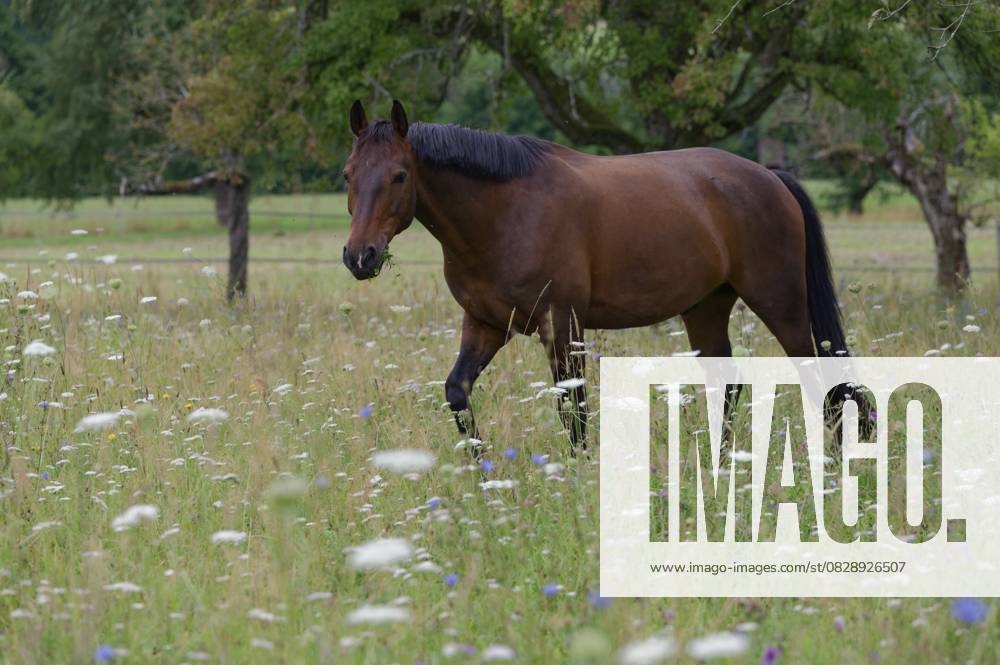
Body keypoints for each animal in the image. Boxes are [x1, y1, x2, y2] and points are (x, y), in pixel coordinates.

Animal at [341, 100, 855, 453]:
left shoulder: (562, 325)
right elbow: (457, 392)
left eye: (400, 175)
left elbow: (573, 409)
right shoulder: (485, 324)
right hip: (706, 309)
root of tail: (769, 177)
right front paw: (482, 476)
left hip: (781, 304)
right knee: (727, 383)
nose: (359, 256)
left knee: (820, 379)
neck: (506, 212)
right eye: (348, 174)